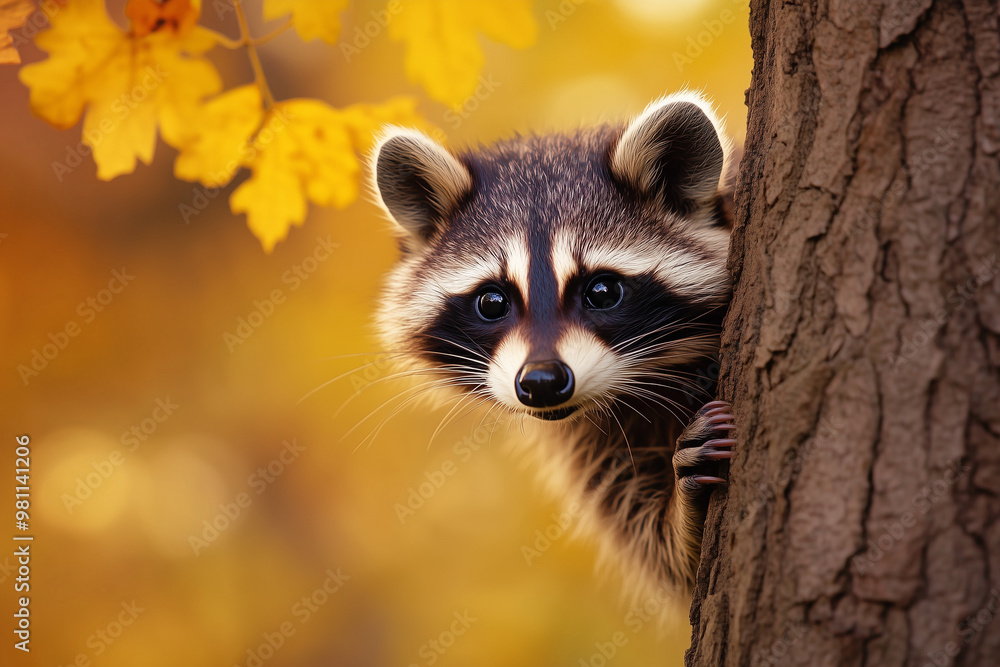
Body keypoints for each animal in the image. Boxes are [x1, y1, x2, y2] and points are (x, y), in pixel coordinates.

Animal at [370, 92, 737, 596]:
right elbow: (661, 554)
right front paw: (685, 521)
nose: (542, 382)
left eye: (602, 291)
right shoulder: (588, 439)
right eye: (492, 302)